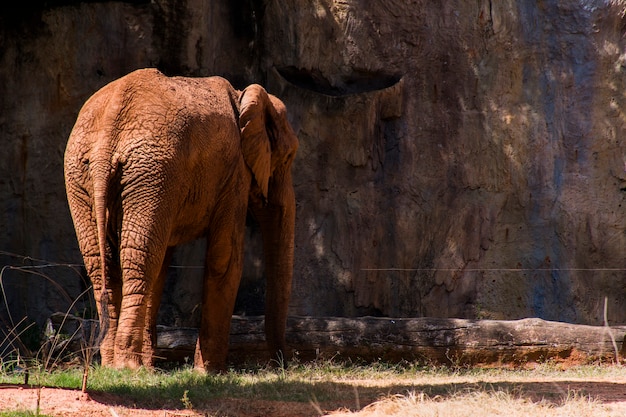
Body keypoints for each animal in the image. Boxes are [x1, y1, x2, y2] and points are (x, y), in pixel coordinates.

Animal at [63, 68, 298, 370]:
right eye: (289, 157)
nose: (282, 362)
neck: (244, 96)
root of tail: (107, 137)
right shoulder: (234, 172)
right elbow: (225, 260)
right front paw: (210, 373)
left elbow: (164, 262)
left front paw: (158, 369)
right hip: (149, 172)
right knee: (139, 260)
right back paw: (128, 367)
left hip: (92, 175)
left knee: (109, 263)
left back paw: (116, 366)